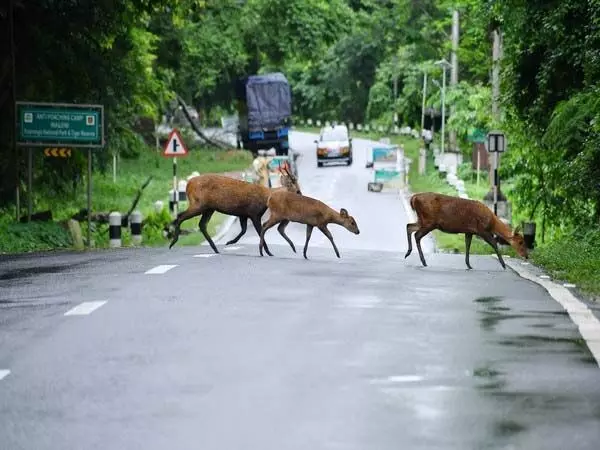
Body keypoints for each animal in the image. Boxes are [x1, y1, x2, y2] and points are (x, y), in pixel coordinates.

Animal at [166, 168, 300, 255]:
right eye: (296, 189)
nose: (301, 194)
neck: (266, 197)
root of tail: (188, 184)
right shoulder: (254, 213)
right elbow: (259, 231)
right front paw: (268, 252)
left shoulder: (243, 214)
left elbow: (244, 230)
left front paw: (230, 242)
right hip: (198, 204)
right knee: (180, 216)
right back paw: (173, 242)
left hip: (209, 208)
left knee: (201, 224)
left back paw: (215, 249)